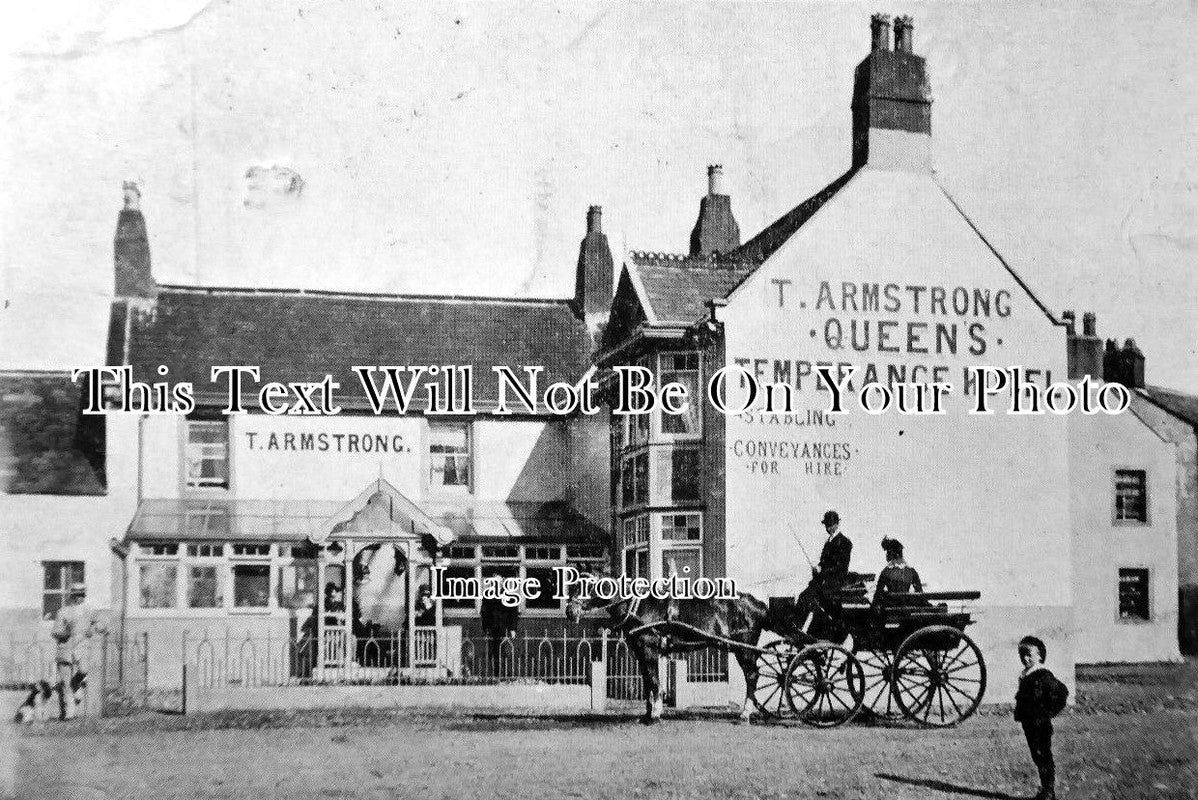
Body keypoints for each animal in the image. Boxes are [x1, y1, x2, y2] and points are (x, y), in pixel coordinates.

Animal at [563, 574, 805, 723]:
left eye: (584, 586)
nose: (569, 611)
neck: (637, 607)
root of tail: (758, 605)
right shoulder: (642, 652)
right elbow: (648, 682)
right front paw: (647, 713)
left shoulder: (649, 649)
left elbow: (654, 681)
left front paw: (655, 714)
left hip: (743, 649)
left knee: (753, 676)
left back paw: (745, 713)